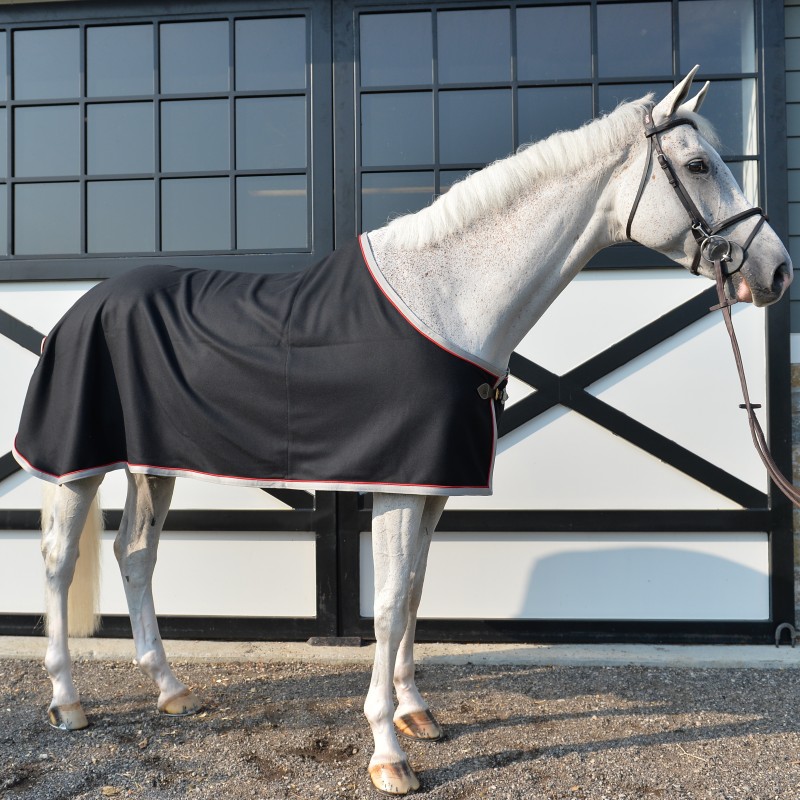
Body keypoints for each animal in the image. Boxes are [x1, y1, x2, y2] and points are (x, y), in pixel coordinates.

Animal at [12, 68, 792, 796]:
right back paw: (68, 702)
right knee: (56, 561)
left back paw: (171, 690)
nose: (777, 270)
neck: (448, 301)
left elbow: (415, 590)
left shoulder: (434, 486)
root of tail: (81, 308)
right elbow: (387, 606)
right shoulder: (396, 485)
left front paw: (417, 712)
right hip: (78, 465)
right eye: (698, 165)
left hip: (155, 465)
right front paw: (388, 752)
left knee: (136, 556)